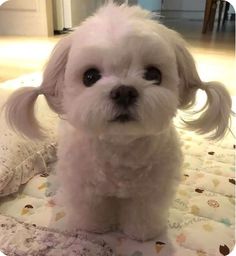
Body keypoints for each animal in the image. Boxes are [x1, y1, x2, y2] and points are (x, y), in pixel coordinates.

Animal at [4, 3, 232, 241]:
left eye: (154, 74)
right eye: (90, 76)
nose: (124, 92)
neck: (120, 147)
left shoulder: (151, 190)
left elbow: (143, 212)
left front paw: (143, 233)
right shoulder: (86, 188)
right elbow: (91, 210)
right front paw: (94, 228)